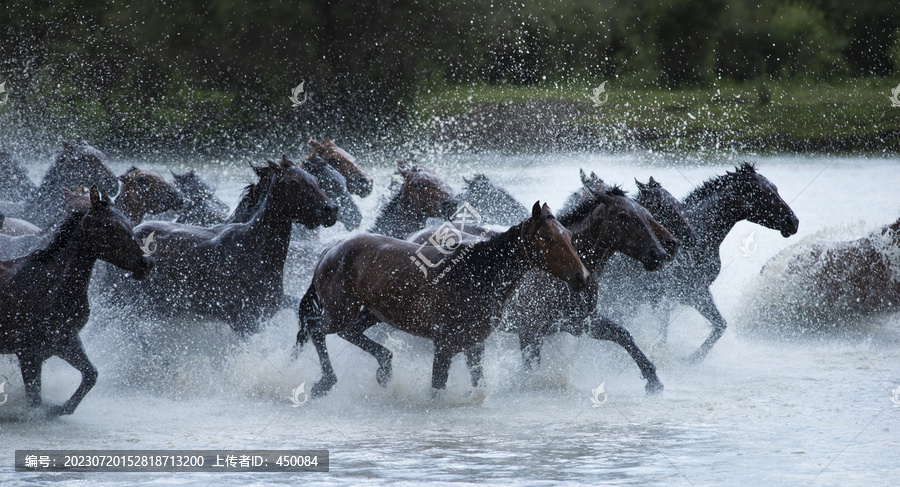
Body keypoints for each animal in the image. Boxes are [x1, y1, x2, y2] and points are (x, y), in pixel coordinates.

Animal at [0, 189, 153, 418]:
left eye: (129, 222)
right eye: (109, 226)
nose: (147, 263)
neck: (51, 286)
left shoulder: (65, 341)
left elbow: (91, 373)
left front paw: (60, 408)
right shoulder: (29, 352)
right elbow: (34, 400)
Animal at [298, 201, 592, 396]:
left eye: (568, 235)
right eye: (548, 238)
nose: (583, 277)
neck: (478, 272)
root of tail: (331, 250)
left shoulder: (474, 345)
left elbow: (477, 382)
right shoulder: (444, 346)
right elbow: (437, 388)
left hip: (371, 313)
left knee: (351, 333)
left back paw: (384, 369)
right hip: (340, 312)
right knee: (316, 328)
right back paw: (325, 383)